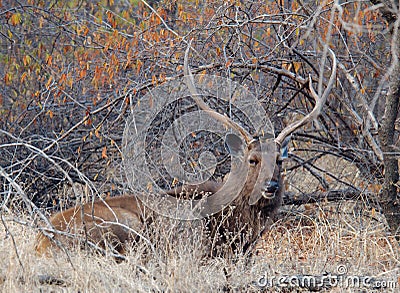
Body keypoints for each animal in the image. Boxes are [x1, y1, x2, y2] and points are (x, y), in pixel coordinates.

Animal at [35, 44, 338, 256]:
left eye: (280, 161)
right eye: (252, 160)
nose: (271, 185)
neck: (235, 223)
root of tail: (42, 240)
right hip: (125, 224)